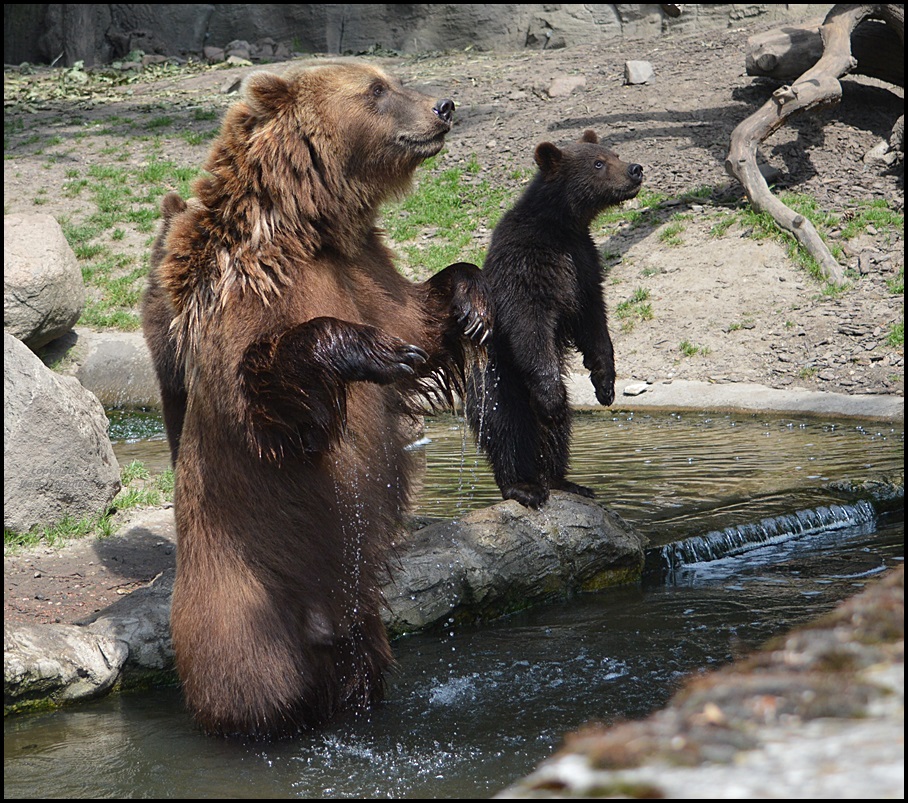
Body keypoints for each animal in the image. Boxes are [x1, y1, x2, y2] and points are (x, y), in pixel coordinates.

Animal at [143, 62, 494, 740]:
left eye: (392, 78)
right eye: (375, 90)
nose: (443, 105)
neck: (310, 230)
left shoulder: (366, 272)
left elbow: (421, 318)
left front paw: (473, 305)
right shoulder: (251, 302)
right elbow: (264, 393)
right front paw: (369, 352)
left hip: (363, 621)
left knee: (362, 671)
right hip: (242, 608)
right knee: (255, 690)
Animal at [464, 131, 640, 508]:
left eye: (614, 154)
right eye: (598, 163)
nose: (636, 169)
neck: (561, 225)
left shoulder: (583, 264)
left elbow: (594, 322)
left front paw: (605, 384)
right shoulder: (528, 263)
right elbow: (529, 323)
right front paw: (551, 397)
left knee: (557, 433)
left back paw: (564, 481)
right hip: (496, 380)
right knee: (508, 429)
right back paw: (523, 485)